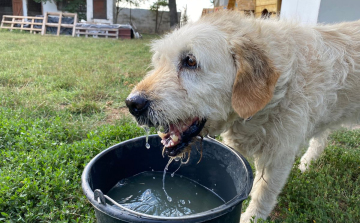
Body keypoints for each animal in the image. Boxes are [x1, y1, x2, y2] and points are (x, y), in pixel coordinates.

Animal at [125, 11, 360, 222]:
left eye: (190, 61)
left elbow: (263, 195)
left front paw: (251, 217)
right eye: (159, 61)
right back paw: (307, 163)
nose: (133, 104)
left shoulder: (279, 154)